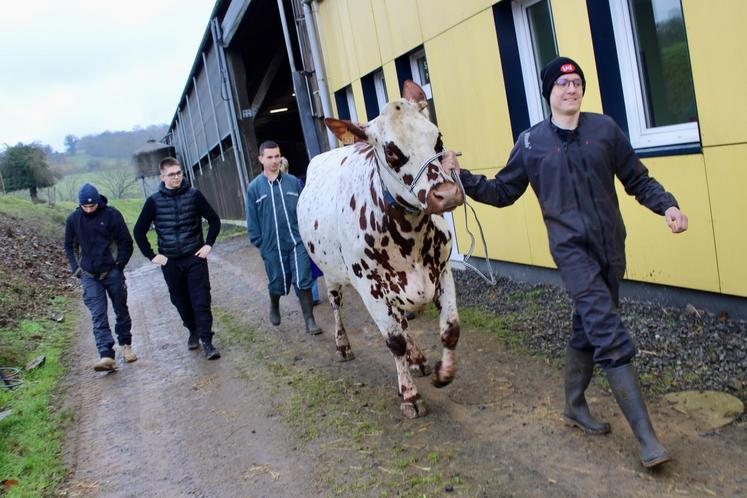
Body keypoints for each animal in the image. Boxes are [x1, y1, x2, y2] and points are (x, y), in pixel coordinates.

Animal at [296, 80, 462, 416]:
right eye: (391, 151)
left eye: (437, 138)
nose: (447, 194)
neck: (410, 238)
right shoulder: (370, 288)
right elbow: (393, 341)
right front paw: (409, 395)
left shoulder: (442, 270)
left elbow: (450, 329)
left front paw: (443, 372)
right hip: (331, 274)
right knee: (337, 306)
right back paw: (343, 345)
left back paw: (416, 358)